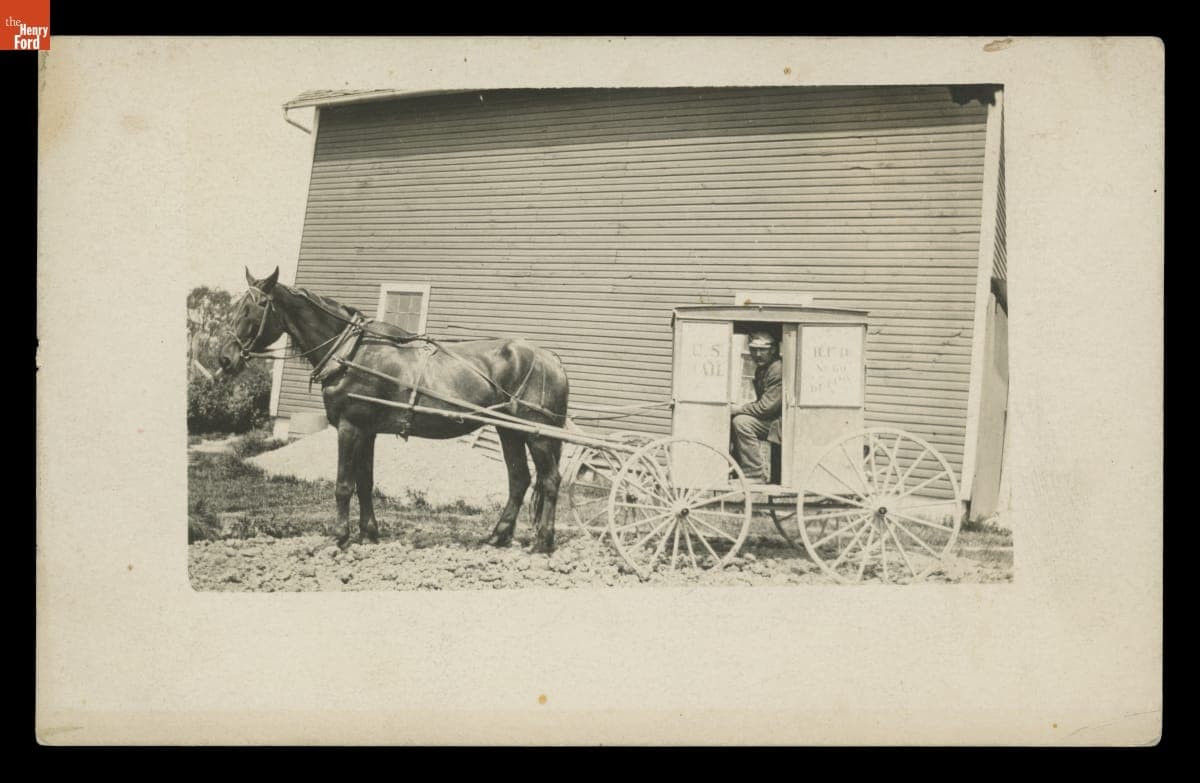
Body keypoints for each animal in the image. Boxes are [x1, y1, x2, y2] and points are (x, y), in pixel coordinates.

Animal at [215, 267, 570, 553]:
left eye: (256, 307)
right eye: (236, 307)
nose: (225, 359)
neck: (352, 352)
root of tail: (551, 358)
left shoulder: (350, 426)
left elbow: (343, 484)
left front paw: (339, 537)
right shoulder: (367, 430)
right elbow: (365, 482)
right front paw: (369, 533)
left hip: (536, 434)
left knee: (550, 480)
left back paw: (542, 542)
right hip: (509, 430)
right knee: (520, 480)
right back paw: (497, 537)